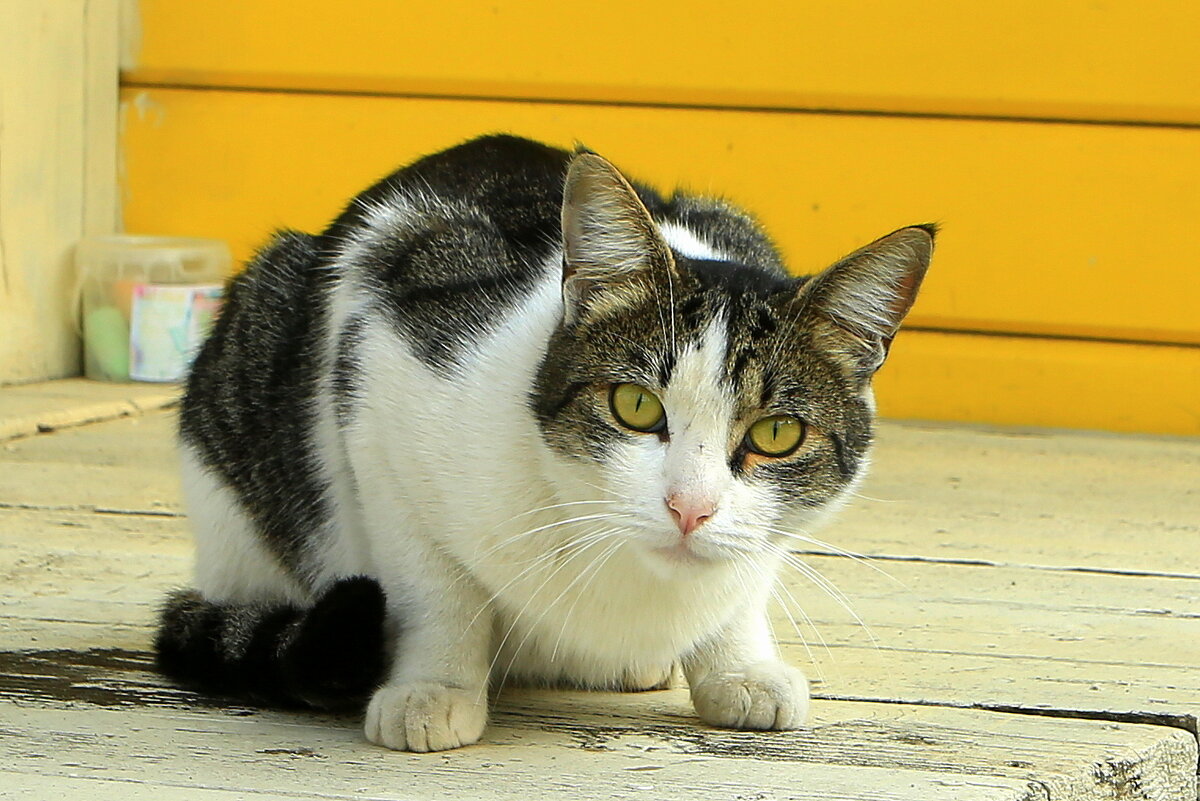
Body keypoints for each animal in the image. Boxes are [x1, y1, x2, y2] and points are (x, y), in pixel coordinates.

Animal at [152, 133, 936, 753]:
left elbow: (747, 577)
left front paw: (739, 666)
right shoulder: (376, 376)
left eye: (777, 433)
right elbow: (434, 580)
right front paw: (434, 687)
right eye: (635, 405)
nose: (689, 508)